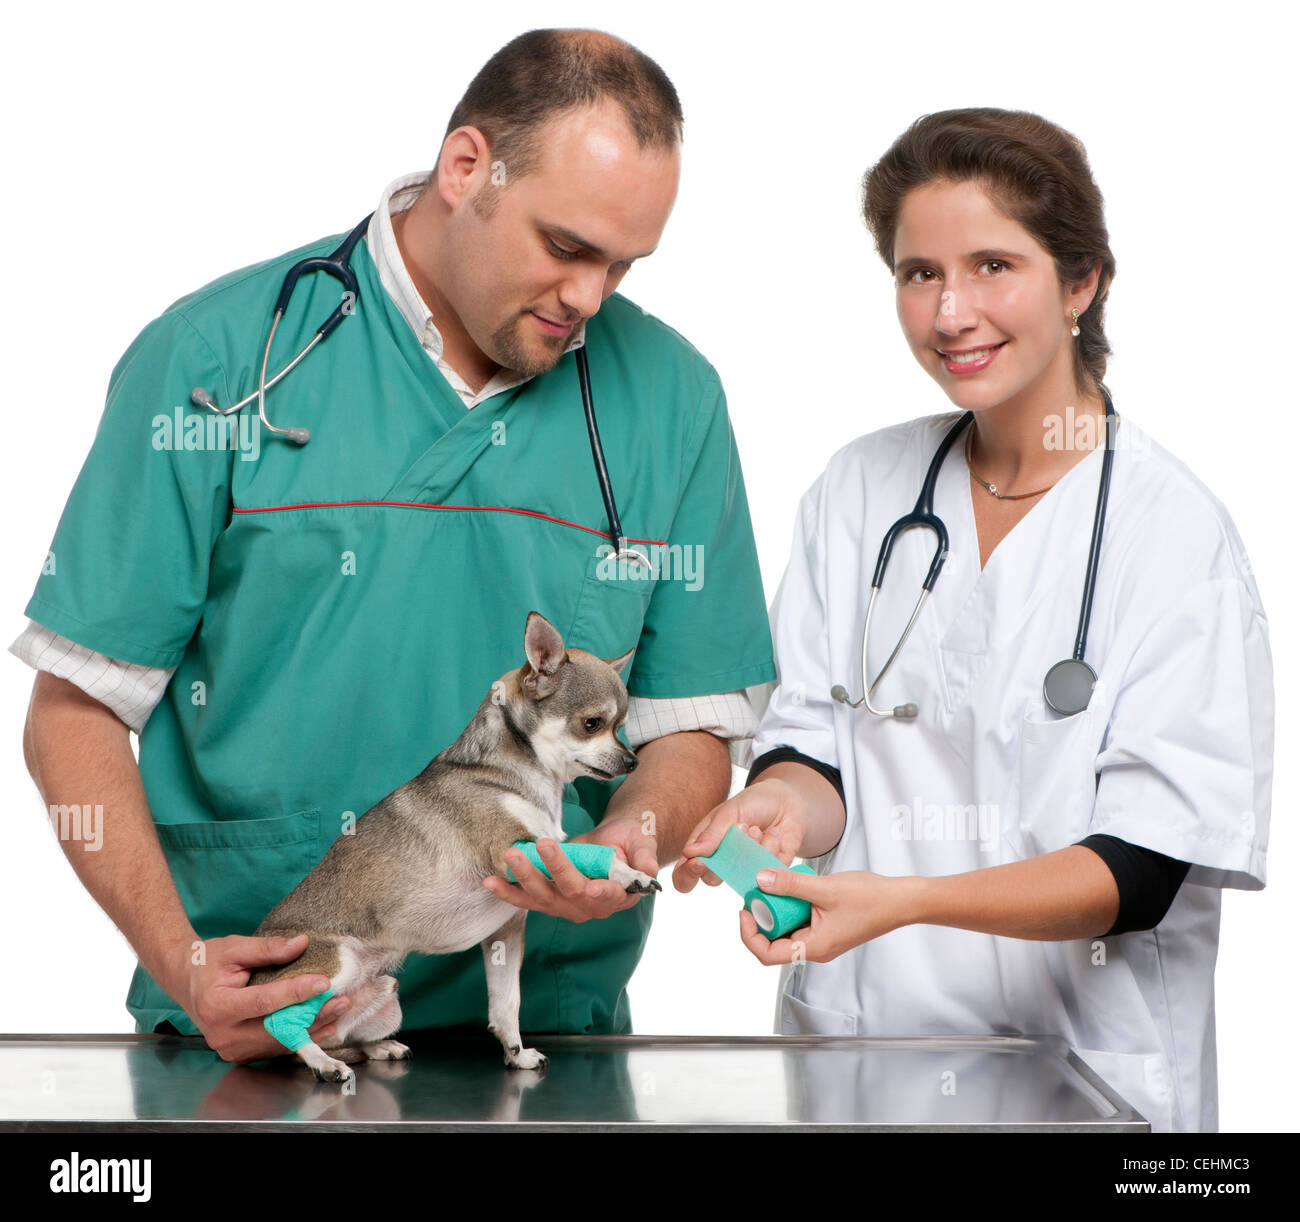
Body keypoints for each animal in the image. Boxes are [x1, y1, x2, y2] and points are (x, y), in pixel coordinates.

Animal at [248, 616, 660, 1081]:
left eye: (621, 726)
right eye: (592, 724)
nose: (632, 761)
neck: (521, 776)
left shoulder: (506, 929)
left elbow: (506, 1002)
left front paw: (516, 1053)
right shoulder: (511, 850)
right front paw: (628, 872)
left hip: (384, 994)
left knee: (341, 1034)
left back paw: (376, 1048)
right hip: (334, 965)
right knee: (280, 1022)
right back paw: (324, 1064)